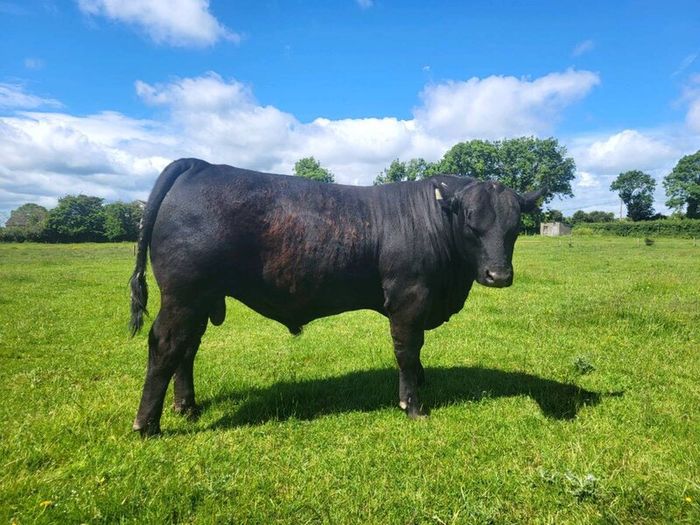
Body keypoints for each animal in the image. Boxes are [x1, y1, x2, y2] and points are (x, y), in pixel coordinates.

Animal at [129, 158, 545, 435]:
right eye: (471, 223)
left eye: (514, 227)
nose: (498, 276)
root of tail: (200, 165)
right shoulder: (408, 300)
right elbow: (408, 352)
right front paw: (413, 406)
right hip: (184, 294)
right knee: (166, 345)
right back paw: (148, 425)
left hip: (199, 299)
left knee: (187, 348)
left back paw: (187, 407)